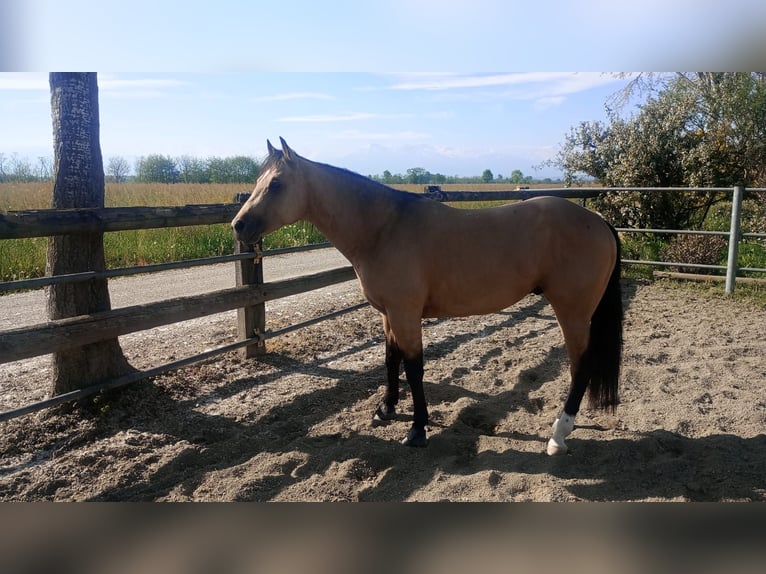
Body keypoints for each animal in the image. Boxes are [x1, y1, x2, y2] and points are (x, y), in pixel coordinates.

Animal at [234, 137, 624, 456]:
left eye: (276, 183)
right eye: (257, 181)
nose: (238, 225)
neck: (384, 228)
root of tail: (597, 220)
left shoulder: (406, 314)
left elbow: (413, 367)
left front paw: (417, 429)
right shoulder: (388, 314)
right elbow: (390, 360)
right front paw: (385, 409)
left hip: (572, 312)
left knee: (580, 365)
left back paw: (559, 434)